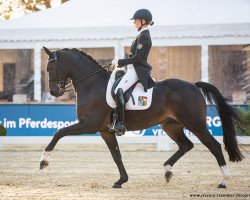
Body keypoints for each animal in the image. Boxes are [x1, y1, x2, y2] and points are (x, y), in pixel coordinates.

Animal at [40, 47, 243, 189]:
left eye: (50, 67)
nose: (54, 92)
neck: (91, 83)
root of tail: (194, 85)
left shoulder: (89, 125)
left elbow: (59, 132)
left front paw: (43, 161)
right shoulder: (105, 130)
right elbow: (116, 155)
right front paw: (121, 181)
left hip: (195, 124)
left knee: (214, 146)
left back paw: (224, 181)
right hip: (171, 125)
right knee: (186, 145)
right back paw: (167, 171)